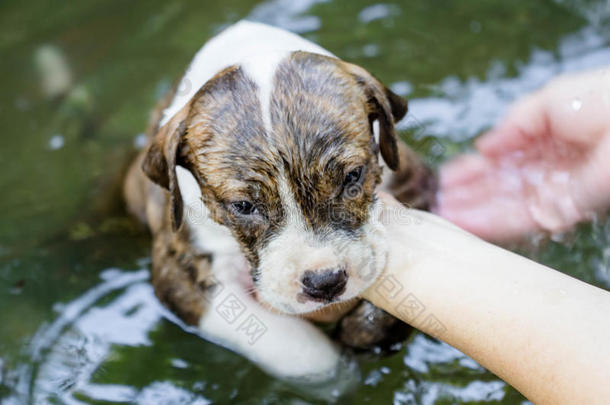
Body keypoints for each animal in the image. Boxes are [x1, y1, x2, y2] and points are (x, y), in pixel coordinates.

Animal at [123, 20, 432, 380]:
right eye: (243, 206)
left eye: (353, 177)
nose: (324, 282)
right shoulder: (178, 273)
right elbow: (294, 349)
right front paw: (338, 373)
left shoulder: (416, 185)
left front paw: (369, 329)